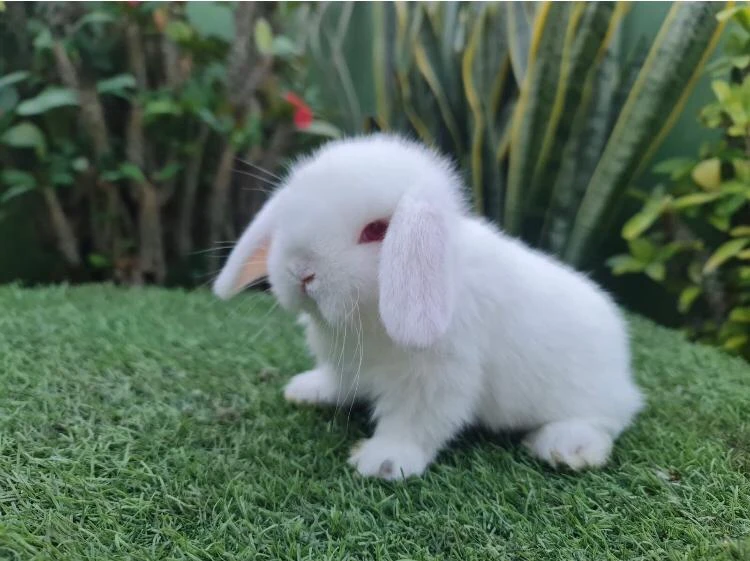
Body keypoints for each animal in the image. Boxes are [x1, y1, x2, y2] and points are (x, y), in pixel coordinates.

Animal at [213, 133, 648, 480]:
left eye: (376, 231)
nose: (301, 271)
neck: (369, 319)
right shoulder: (346, 362)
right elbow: (339, 381)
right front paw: (308, 390)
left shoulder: (437, 377)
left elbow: (415, 421)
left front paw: (382, 462)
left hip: (589, 395)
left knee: (607, 419)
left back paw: (566, 448)